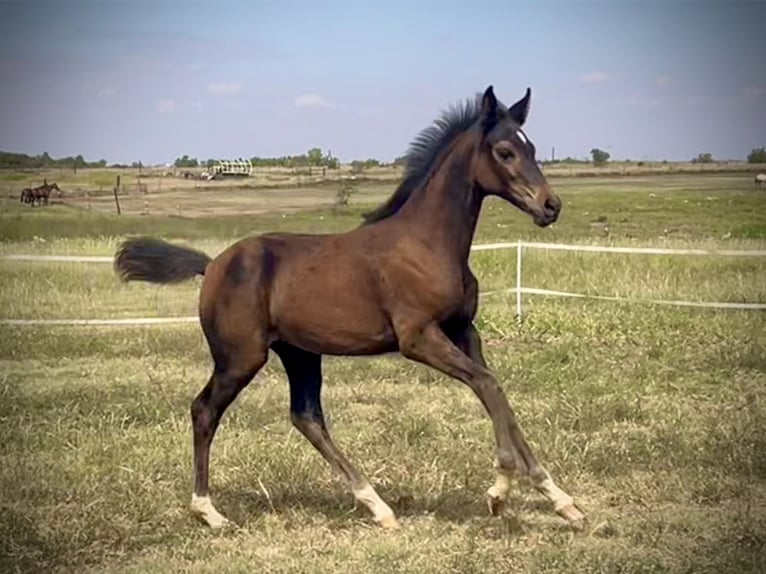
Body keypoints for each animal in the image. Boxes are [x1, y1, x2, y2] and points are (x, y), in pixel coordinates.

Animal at [114, 88, 584, 532]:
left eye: (533, 148)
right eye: (504, 152)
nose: (550, 206)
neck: (428, 244)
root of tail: (212, 265)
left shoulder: (464, 332)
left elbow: (497, 393)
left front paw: (561, 500)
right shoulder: (419, 338)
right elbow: (488, 385)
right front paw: (500, 489)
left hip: (300, 353)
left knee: (307, 417)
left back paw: (377, 505)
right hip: (240, 357)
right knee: (205, 410)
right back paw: (209, 511)